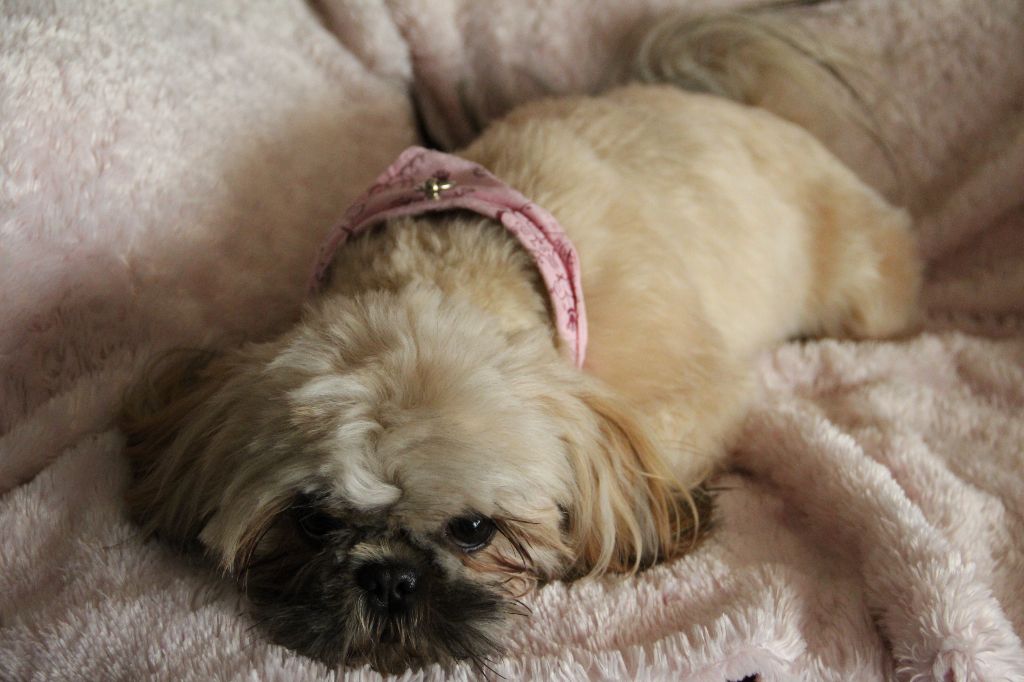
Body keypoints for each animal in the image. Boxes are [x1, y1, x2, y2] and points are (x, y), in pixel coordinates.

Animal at [120, 9, 921, 673]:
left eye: (474, 530)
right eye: (311, 522)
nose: (388, 579)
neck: (453, 256)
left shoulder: (684, 397)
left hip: (864, 292)